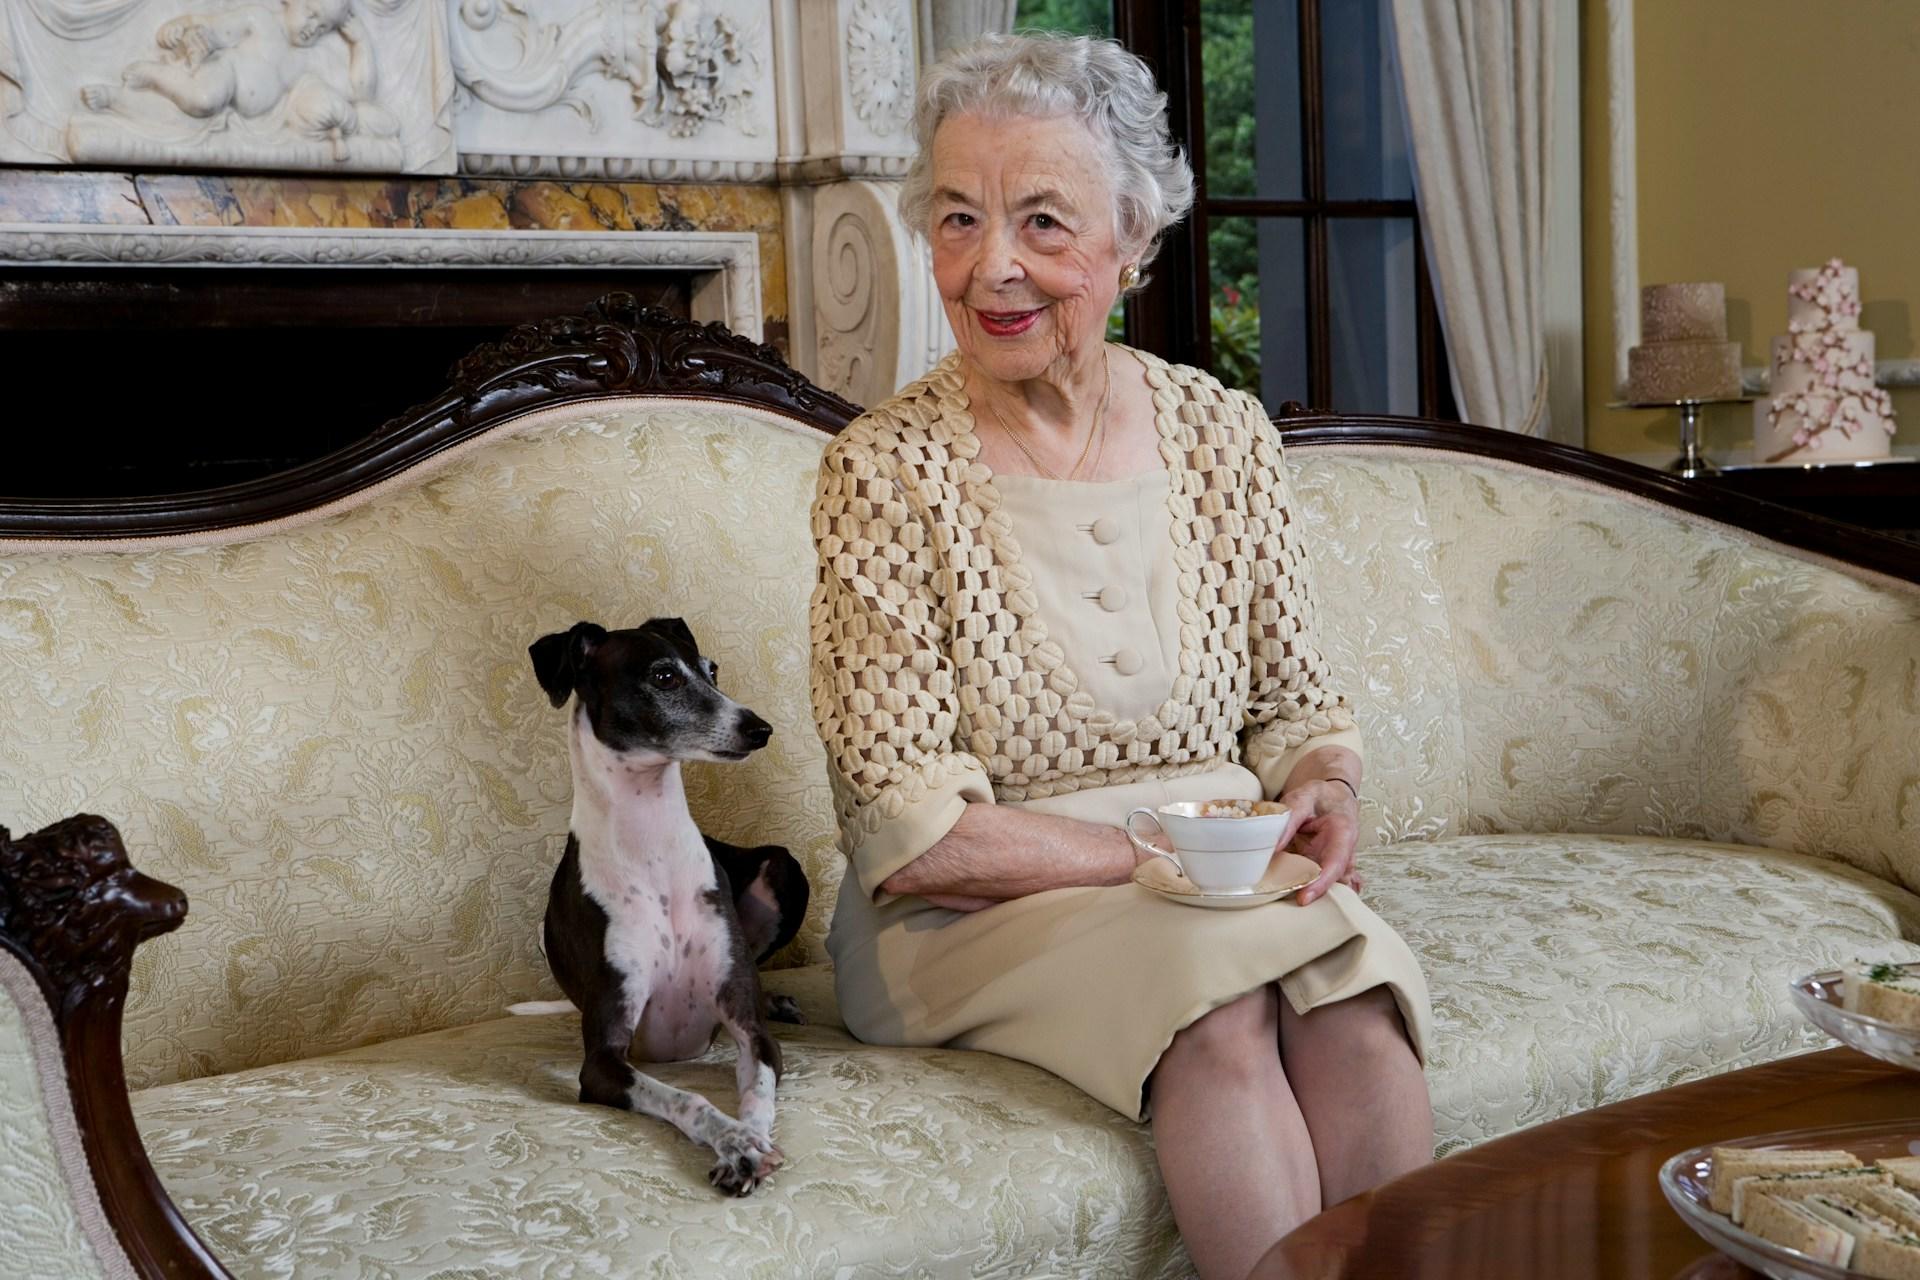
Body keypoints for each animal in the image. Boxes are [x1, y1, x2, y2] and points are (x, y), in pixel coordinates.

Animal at [522, 614, 806, 1197]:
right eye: (663, 677)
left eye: (712, 669)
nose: (760, 728)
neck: (650, 846)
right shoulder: (602, 1063)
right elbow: (686, 1098)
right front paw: (737, 1144)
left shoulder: (753, 1036)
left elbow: (756, 1094)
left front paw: (748, 1140)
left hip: (784, 867)